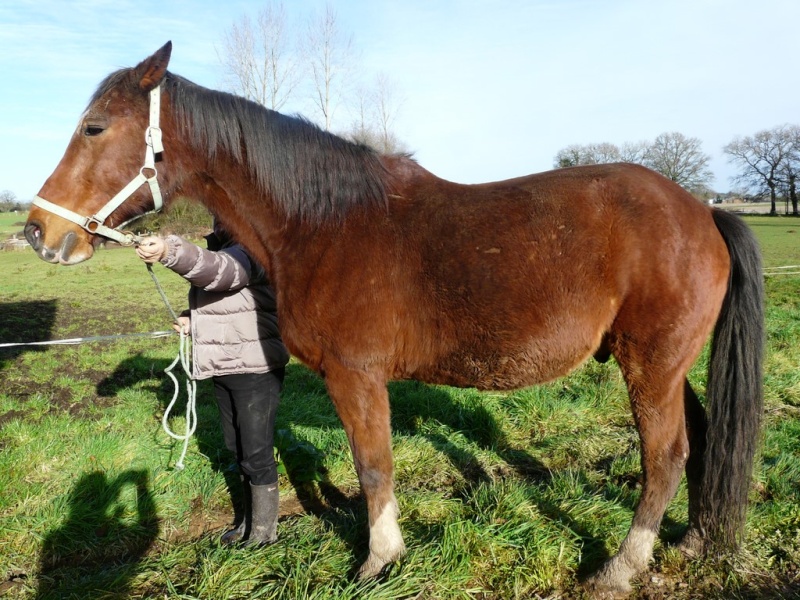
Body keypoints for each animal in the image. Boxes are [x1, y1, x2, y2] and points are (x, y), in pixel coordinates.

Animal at [23, 43, 764, 596]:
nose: (36, 233)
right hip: (669, 365)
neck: (323, 223)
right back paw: (695, 540)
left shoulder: (355, 376)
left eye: (94, 127)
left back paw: (620, 567)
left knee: (665, 456)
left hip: (651, 365)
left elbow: (373, 466)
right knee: (703, 437)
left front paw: (379, 561)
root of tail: (703, 211)